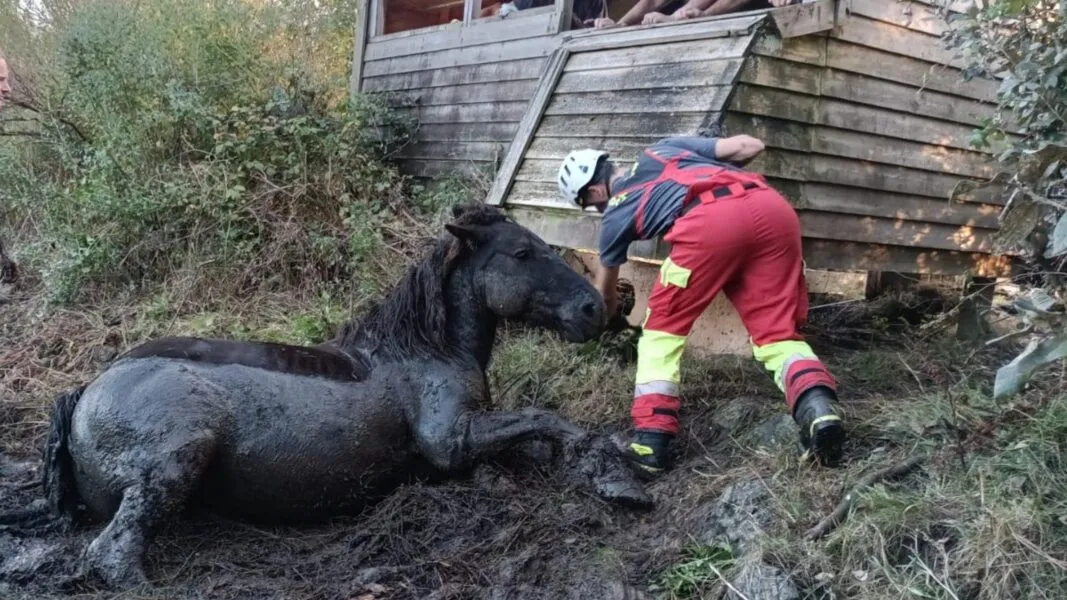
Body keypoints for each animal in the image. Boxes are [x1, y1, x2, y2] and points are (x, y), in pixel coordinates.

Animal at [26, 203, 652, 588]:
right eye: (522, 253)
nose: (596, 308)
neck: (422, 348)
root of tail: (86, 389)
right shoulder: (452, 441)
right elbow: (553, 420)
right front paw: (617, 478)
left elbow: (535, 434)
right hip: (177, 460)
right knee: (111, 554)